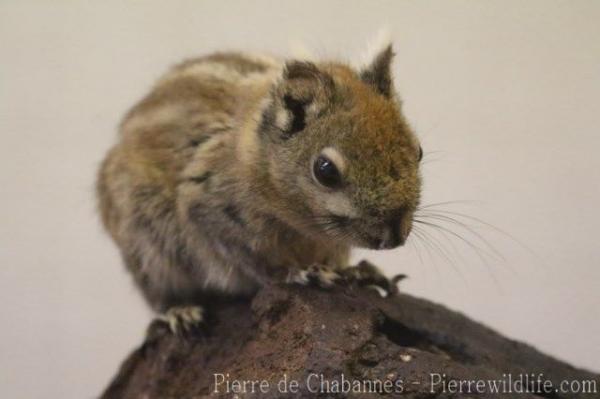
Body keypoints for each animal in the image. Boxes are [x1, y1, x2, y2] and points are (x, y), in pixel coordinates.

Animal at [96, 43, 422, 336]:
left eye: (418, 151)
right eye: (325, 170)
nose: (395, 236)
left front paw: (358, 272)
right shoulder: (206, 210)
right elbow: (256, 262)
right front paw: (300, 273)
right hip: (147, 250)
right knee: (159, 295)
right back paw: (179, 311)